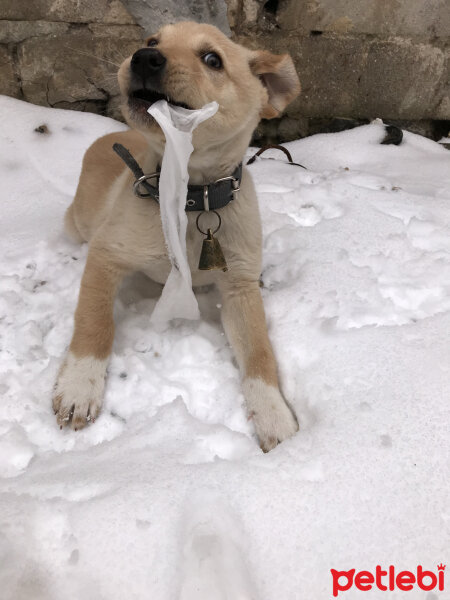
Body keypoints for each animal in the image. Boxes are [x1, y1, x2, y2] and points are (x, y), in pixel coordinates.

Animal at [52, 21, 300, 450]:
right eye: (153, 41)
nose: (143, 57)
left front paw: (275, 417)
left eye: (212, 59)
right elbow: (94, 320)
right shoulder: (106, 253)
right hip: (78, 223)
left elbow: (259, 353)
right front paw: (79, 385)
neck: (188, 199)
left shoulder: (240, 287)